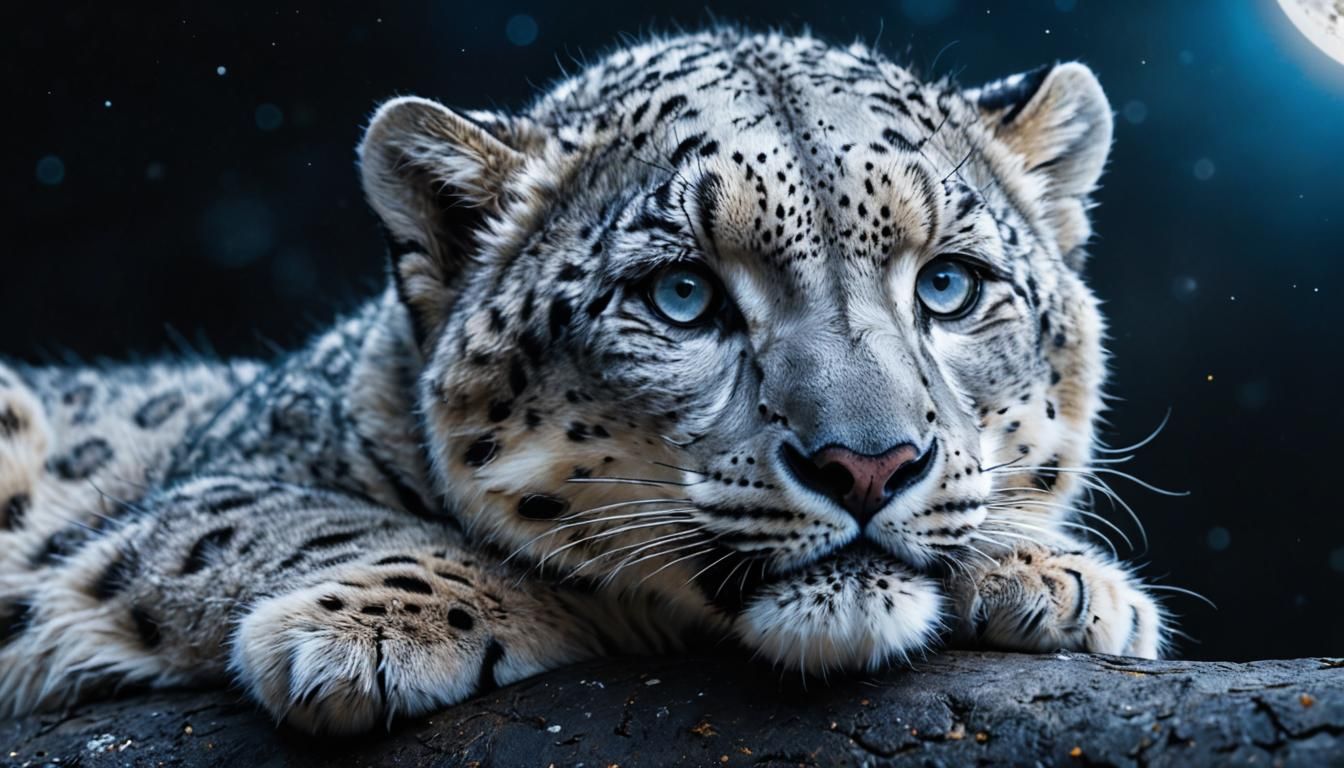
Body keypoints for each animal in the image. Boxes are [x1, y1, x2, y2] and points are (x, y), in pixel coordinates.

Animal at [0, 29, 1168, 733]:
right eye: (683, 294)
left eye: (950, 284)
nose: (868, 465)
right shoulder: (196, 483)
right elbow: (259, 516)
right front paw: (384, 625)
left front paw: (1052, 574)